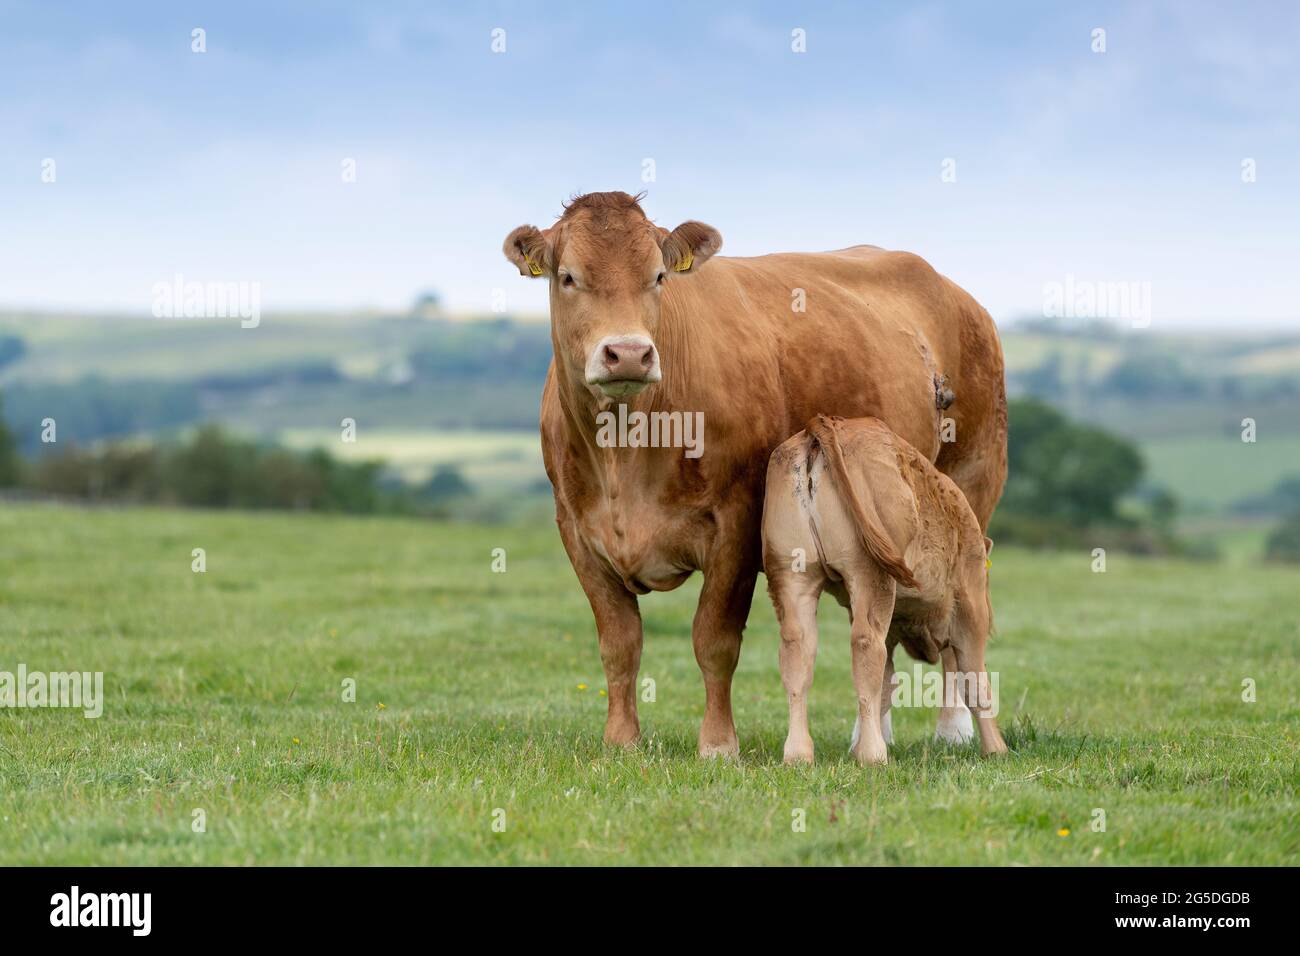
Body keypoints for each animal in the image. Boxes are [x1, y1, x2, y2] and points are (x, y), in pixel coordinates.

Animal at [762, 414, 1009, 765]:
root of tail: (826, 424)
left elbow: (887, 684)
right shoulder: (969, 608)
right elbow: (975, 681)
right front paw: (996, 750)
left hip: (792, 572)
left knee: (798, 650)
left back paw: (799, 754)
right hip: (871, 575)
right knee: (866, 646)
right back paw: (873, 755)